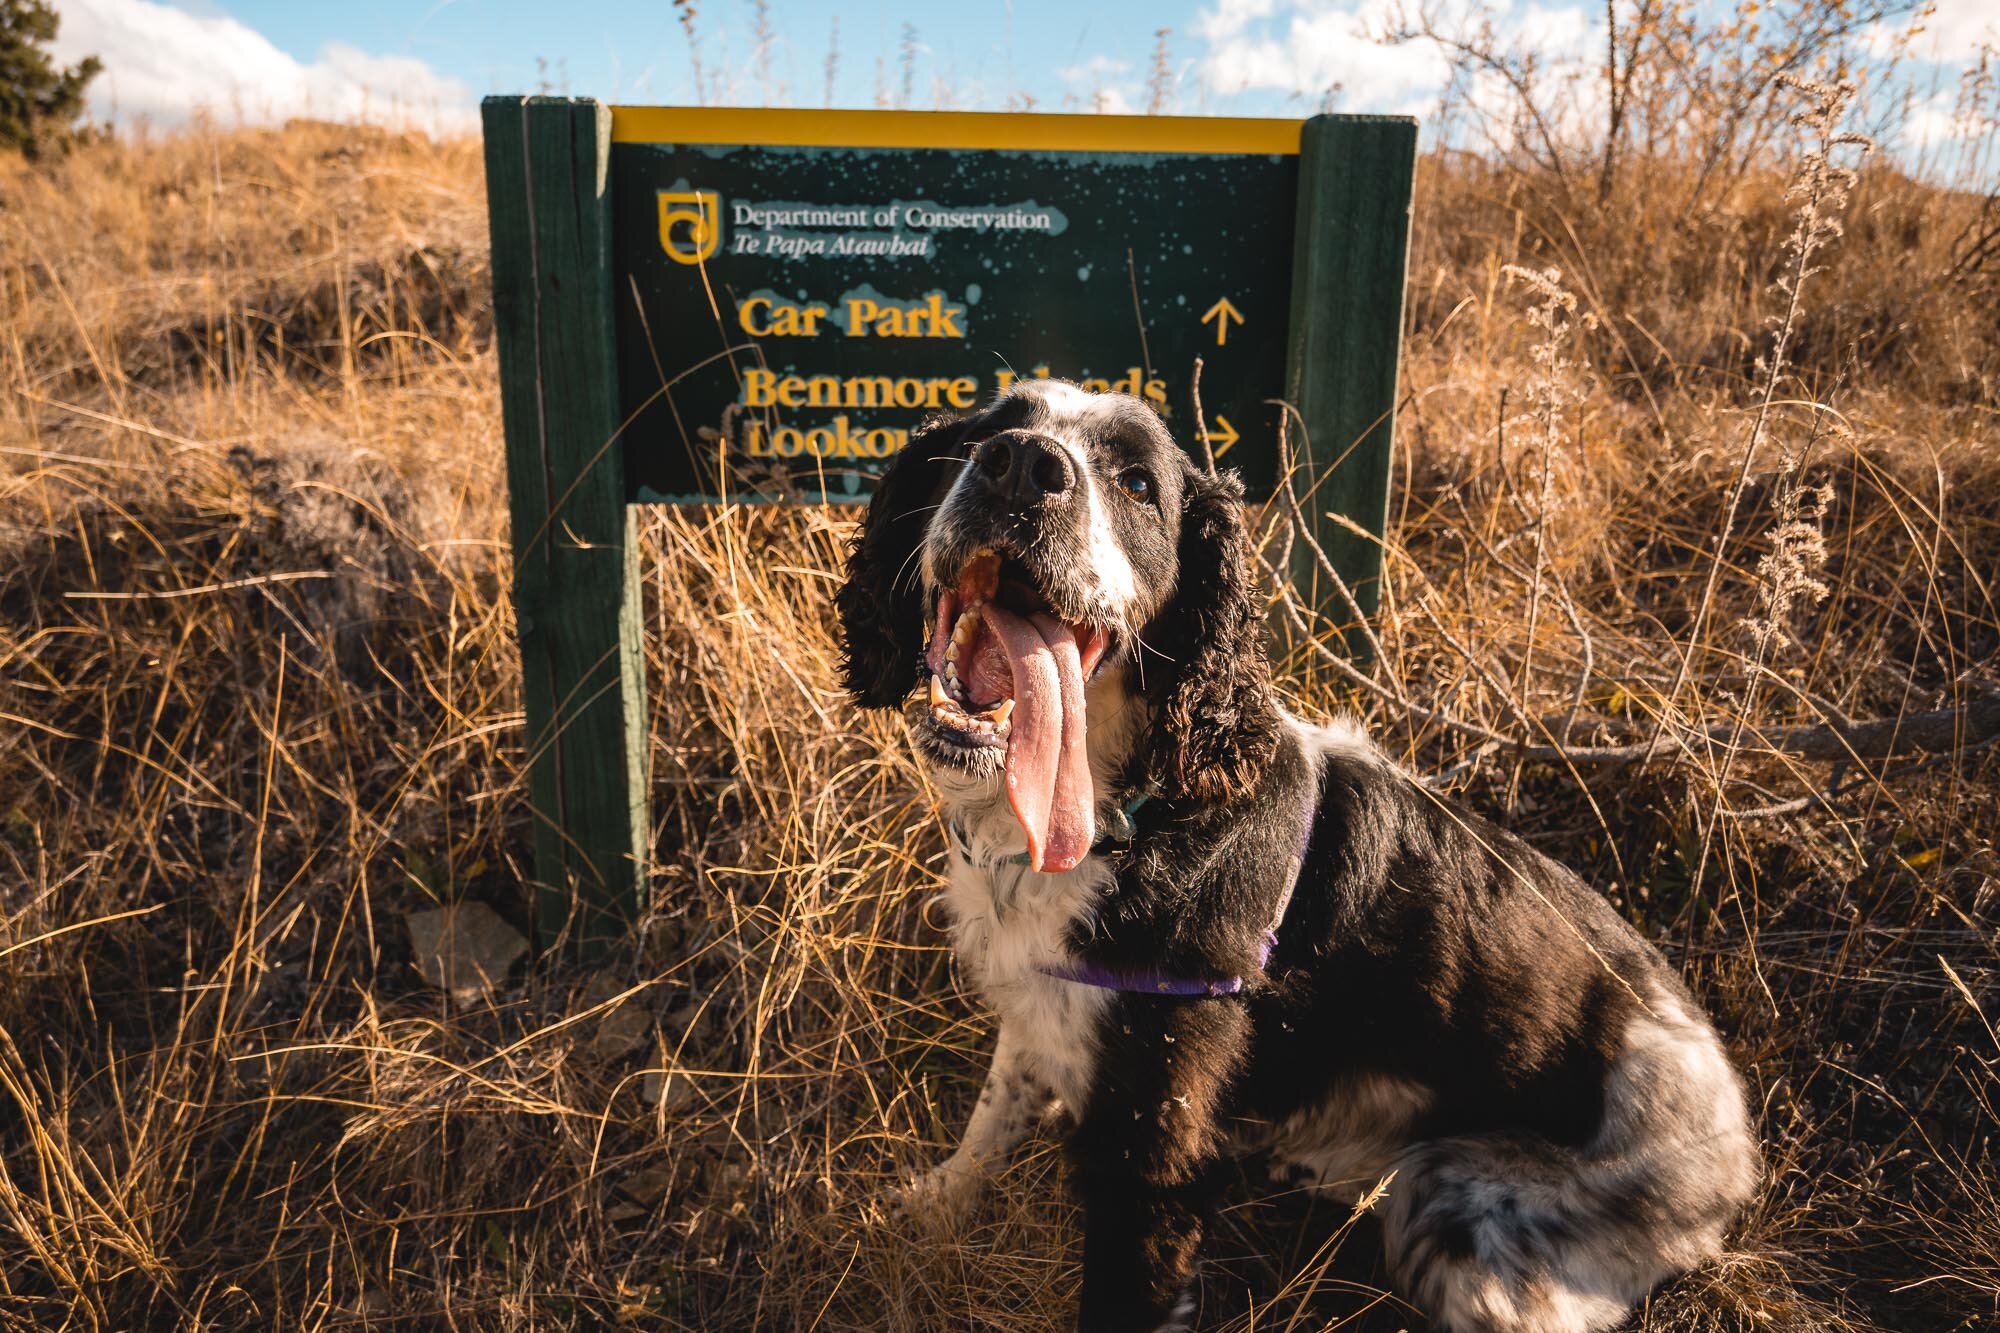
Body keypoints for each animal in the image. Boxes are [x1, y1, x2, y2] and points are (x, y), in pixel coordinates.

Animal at [836, 378, 1760, 1320]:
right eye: (985, 431)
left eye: (1138, 484)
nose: (1022, 464)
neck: (1126, 817)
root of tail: (1735, 1151)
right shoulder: (1036, 1012)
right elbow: (997, 1105)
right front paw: (937, 1200)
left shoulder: (1154, 1150)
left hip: (1456, 1212)